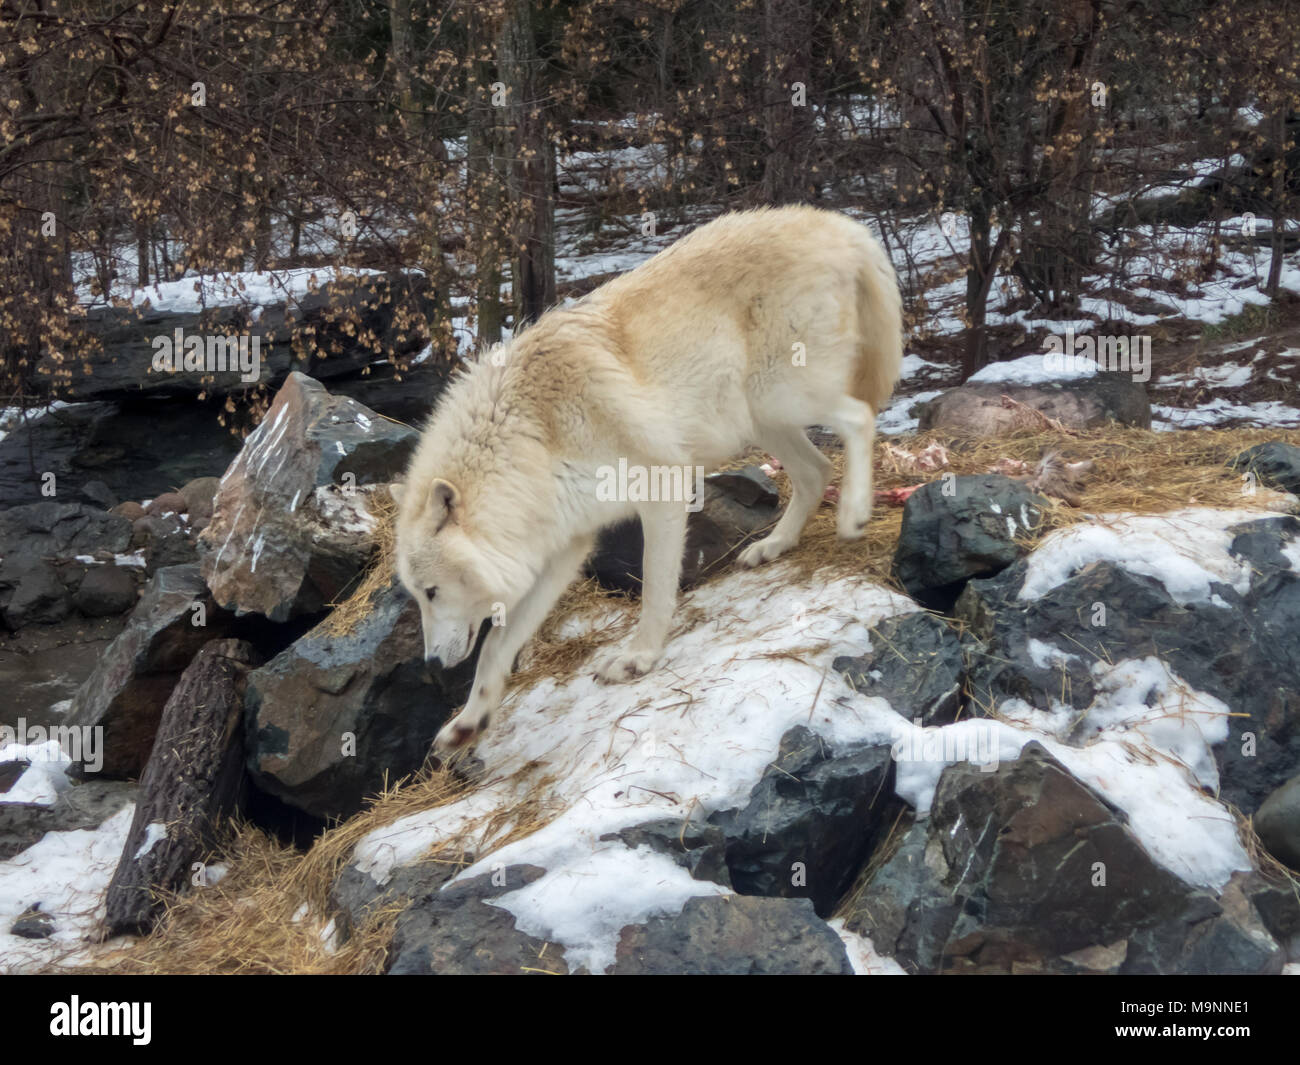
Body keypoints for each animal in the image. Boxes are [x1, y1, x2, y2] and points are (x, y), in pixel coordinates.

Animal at [392, 206, 903, 753]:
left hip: (783, 396)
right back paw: (774, 545)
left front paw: (638, 658)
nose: (431, 663)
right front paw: (470, 720)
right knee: (816, 471)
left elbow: (656, 588)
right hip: (763, 417)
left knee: (859, 418)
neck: (532, 437)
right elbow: (494, 644)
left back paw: (854, 514)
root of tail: (841, 226)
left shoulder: (662, 489)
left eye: (431, 592)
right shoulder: (563, 548)